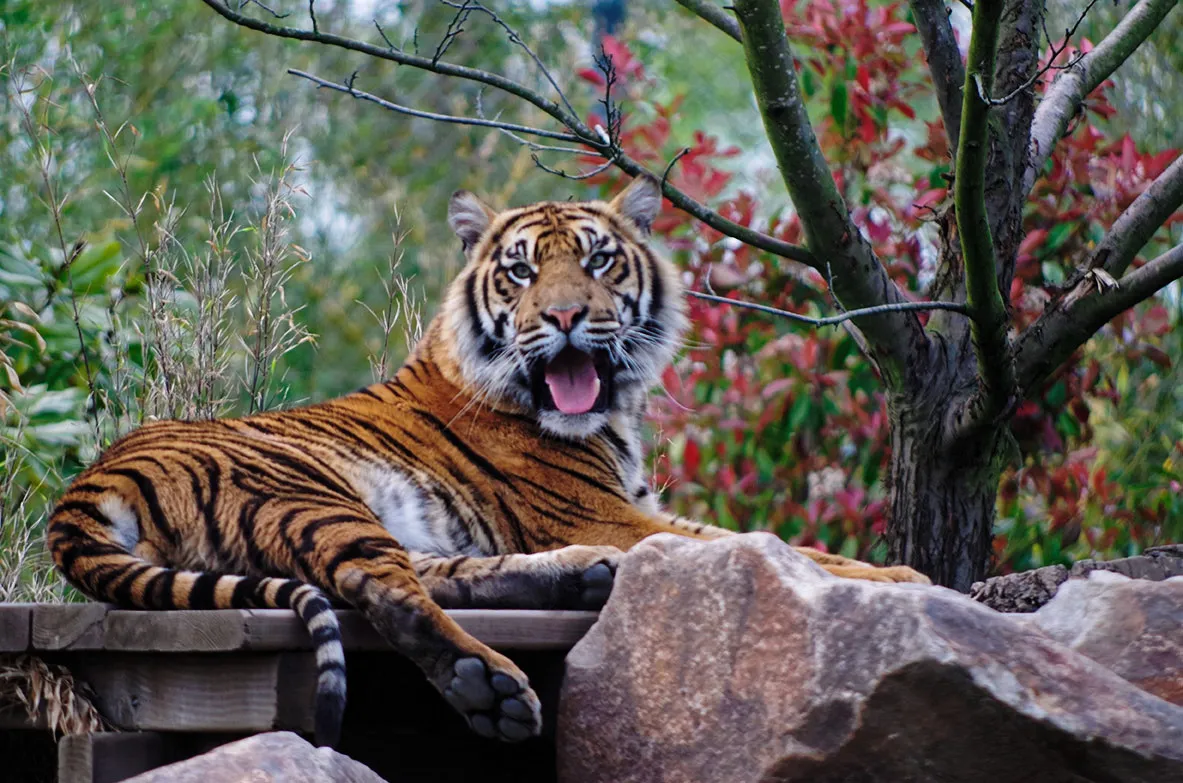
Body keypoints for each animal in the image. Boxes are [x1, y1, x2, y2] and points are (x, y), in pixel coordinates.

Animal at [46, 176, 928, 748]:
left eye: (600, 261)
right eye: (521, 269)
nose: (566, 315)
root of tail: (88, 483)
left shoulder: (630, 507)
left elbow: (748, 541)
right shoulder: (607, 509)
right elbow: (766, 545)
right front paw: (901, 579)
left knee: (428, 568)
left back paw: (583, 578)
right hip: (299, 485)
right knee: (382, 583)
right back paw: (489, 685)